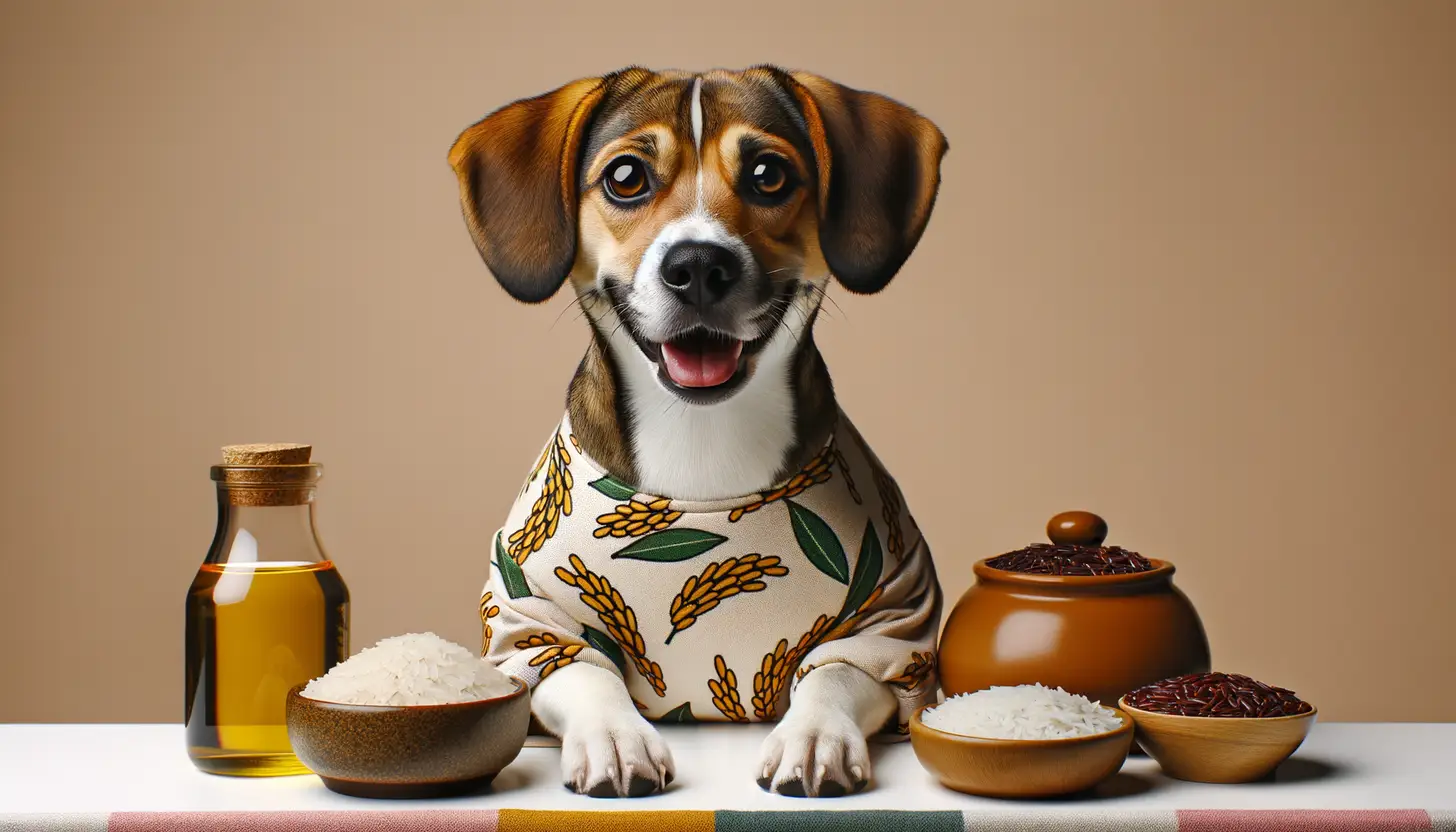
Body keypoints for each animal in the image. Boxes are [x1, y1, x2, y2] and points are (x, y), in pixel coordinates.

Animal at [451, 66, 943, 798]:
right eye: (627, 176)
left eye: (769, 174)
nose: (699, 265)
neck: (702, 442)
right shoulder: (527, 624)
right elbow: (584, 673)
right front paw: (616, 739)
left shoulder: (892, 624)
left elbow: (834, 673)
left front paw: (814, 737)